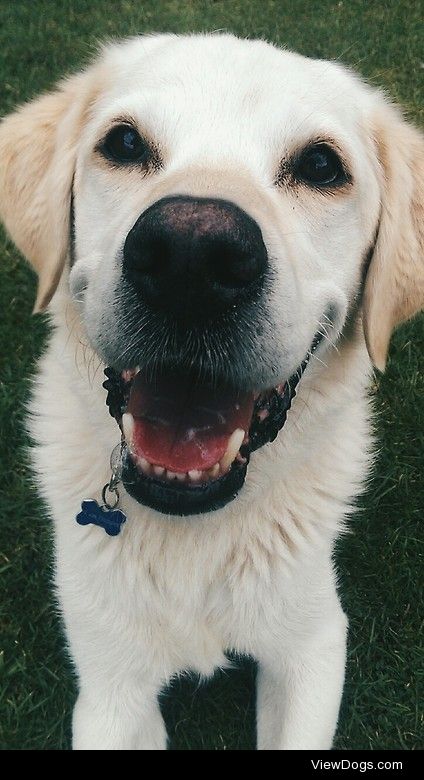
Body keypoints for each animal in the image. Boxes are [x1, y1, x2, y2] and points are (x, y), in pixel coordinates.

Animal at [0, 32, 422, 748]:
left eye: (321, 164)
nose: (191, 256)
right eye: (124, 143)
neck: (193, 525)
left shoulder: (314, 643)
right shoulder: (110, 690)